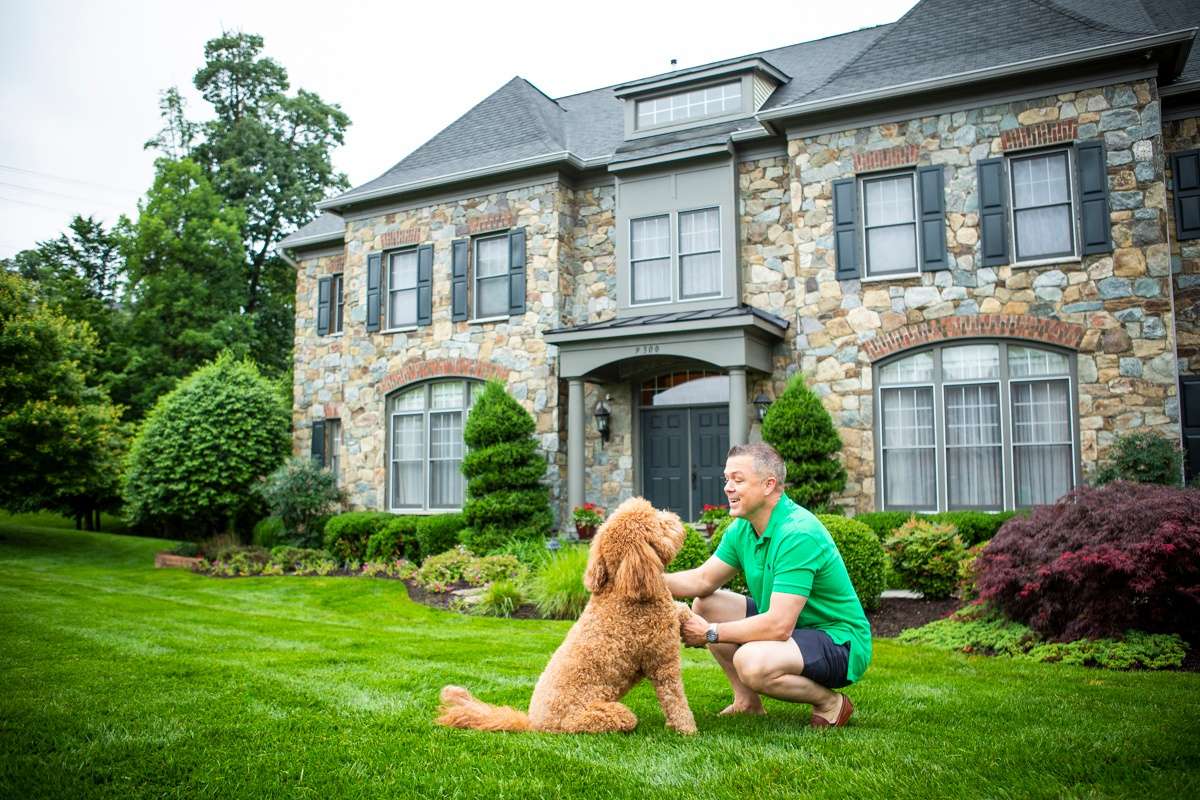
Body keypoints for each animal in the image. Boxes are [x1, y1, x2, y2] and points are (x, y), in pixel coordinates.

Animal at [441, 496, 700, 734]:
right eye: (658, 523)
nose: (675, 517)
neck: (620, 588)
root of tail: (533, 723)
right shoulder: (662, 660)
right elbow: (675, 699)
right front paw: (687, 730)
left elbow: (680, 608)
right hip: (607, 714)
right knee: (624, 719)